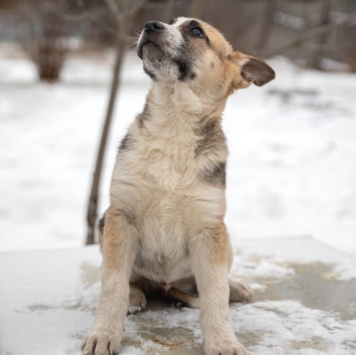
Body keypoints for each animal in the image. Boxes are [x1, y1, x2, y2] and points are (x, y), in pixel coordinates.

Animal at [83, 16, 276, 355]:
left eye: (196, 31)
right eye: (171, 22)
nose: (150, 25)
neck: (174, 123)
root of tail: (165, 284)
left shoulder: (209, 228)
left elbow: (214, 294)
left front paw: (223, 341)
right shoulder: (122, 215)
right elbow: (113, 283)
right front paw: (104, 333)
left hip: (225, 237)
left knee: (210, 282)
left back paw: (235, 286)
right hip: (105, 221)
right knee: (132, 279)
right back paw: (136, 295)